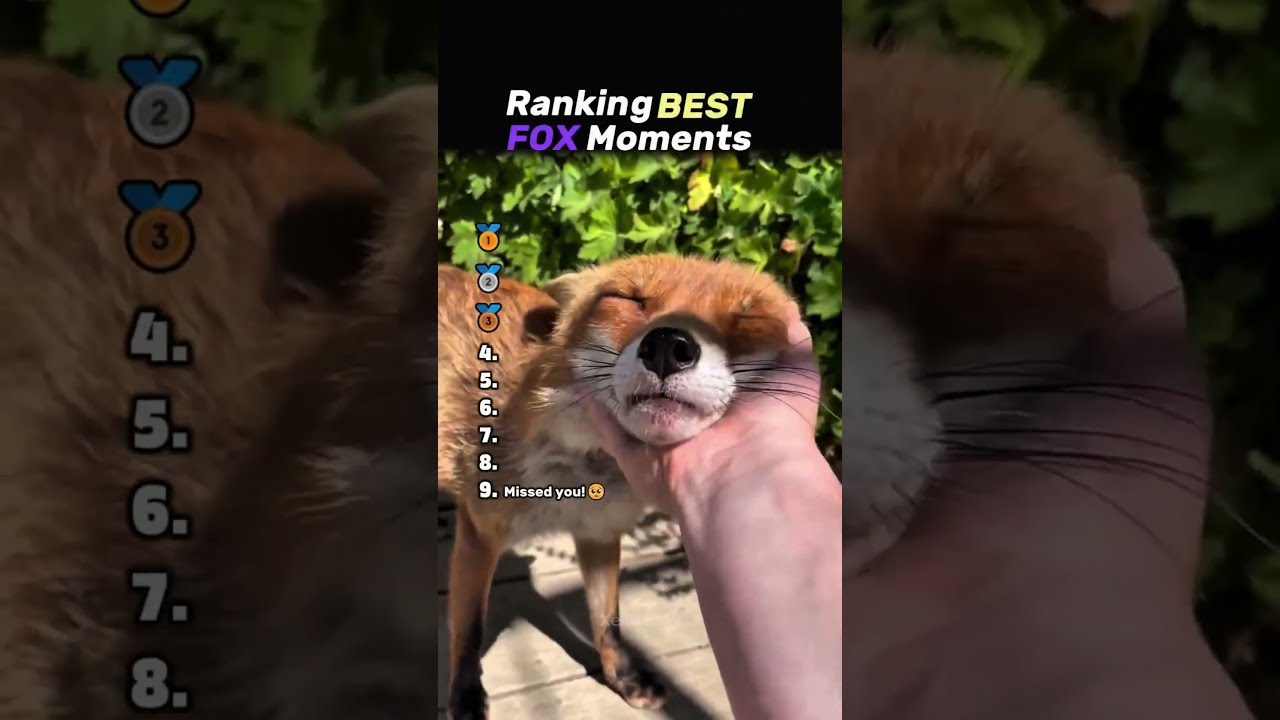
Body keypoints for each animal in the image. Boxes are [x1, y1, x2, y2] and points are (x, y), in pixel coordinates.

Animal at [437, 253, 798, 718]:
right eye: (630, 299)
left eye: (746, 314)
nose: (669, 346)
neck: (584, 471)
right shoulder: (480, 532)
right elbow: (468, 631)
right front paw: (464, 698)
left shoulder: (599, 530)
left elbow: (607, 621)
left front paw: (623, 677)